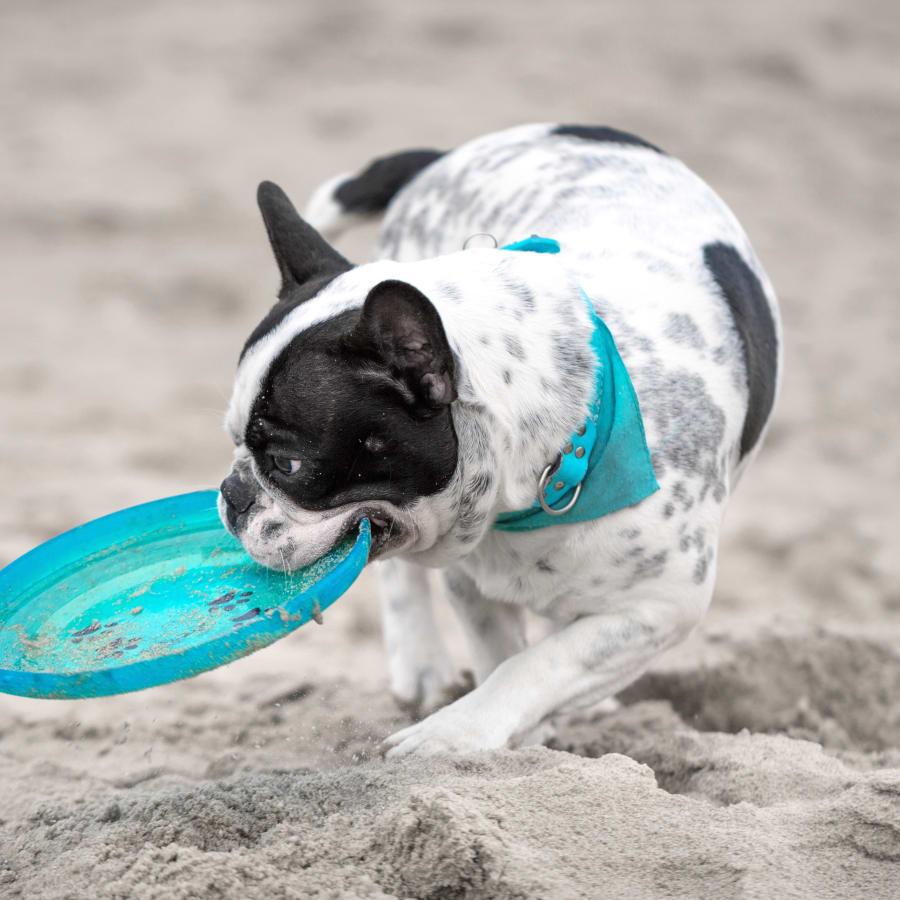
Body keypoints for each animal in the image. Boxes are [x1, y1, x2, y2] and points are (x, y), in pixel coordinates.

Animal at [218, 123, 780, 756]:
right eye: (235, 442)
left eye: (287, 465)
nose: (232, 495)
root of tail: (447, 155)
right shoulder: (470, 580)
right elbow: (502, 657)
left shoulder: (660, 607)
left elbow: (539, 664)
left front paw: (452, 734)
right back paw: (422, 666)